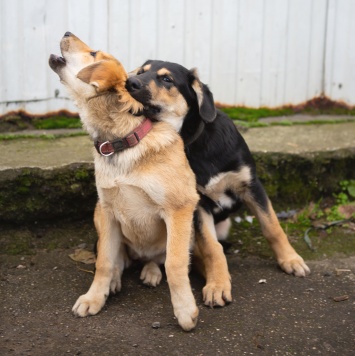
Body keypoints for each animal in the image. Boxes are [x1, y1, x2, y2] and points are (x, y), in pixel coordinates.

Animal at [49, 33, 203, 330]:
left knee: (158, 259)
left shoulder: (179, 209)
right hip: (100, 218)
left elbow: (175, 263)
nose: (66, 33)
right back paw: (115, 281)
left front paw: (184, 309)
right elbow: (104, 262)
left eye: (94, 53)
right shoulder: (108, 212)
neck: (121, 141)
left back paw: (151, 271)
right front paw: (95, 297)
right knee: (118, 260)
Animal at [126, 59, 310, 290]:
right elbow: (212, 247)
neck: (194, 142)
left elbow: (272, 227)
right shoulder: (198, 204)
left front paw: (290, 260)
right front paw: (217, 284)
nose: (129, 82)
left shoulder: (251, 185)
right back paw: (153, 271)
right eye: (141, 72)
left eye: (167, 79)